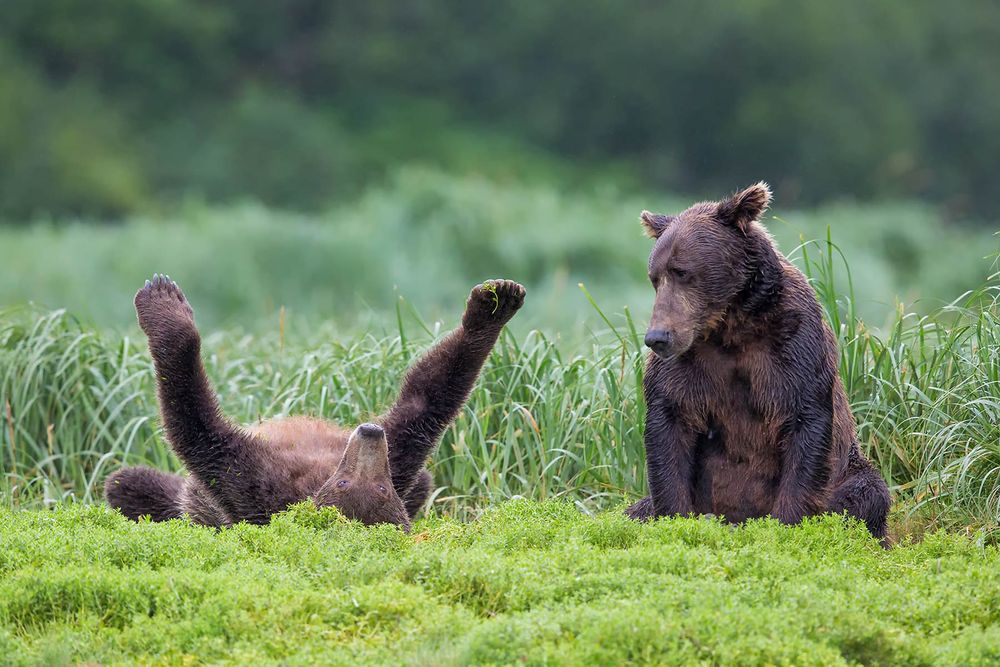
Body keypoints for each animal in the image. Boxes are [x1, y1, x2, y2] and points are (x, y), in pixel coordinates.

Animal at [105, 274, 526, 531]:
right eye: (345, 480)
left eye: (378, 488)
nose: (370, 431)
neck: (319, 472)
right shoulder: (403, 450)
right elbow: (430, 395)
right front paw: (492, 307)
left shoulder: (253, 483)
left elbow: (196, 427)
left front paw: (165, 307)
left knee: (129, 484)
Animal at [625, 183, 891, 543]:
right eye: (655, 277)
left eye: (683, 272)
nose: (658, 337)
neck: (730, 328)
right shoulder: (687, 366)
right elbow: (670, 424)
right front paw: (675, 520)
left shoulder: (793, 347)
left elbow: (805, 422)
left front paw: (786, 523)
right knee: (633, 509)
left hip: (850, 468)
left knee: (868, 492)